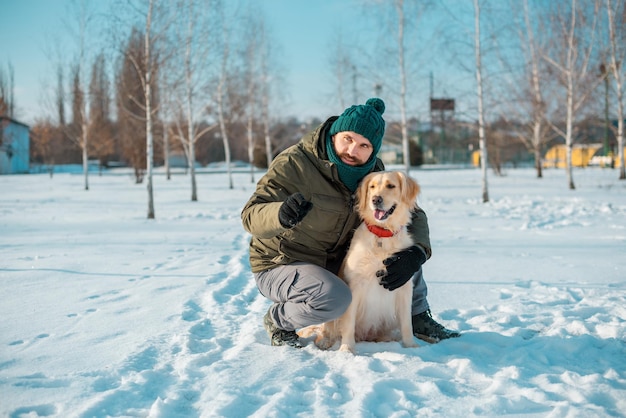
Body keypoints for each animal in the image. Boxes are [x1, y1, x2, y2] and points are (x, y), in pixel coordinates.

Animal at [310, 170, 420, 352]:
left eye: (391, 186)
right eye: (372, 187)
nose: (375, 199)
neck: (382, 235)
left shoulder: (404, 286)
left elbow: (407, 323)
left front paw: (411, 346)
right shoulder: (355, 285)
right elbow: (348, 323)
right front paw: (347, 349)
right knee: (327, 329)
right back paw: (326, 341)